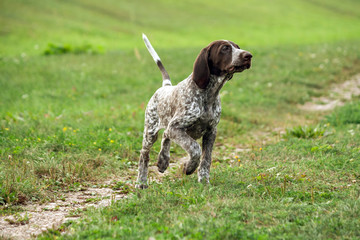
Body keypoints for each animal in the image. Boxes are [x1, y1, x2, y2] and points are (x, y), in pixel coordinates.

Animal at [136, 33, 252, 188]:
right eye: (225, 48)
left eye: (238, 47)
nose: (249, 55)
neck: (209, 94)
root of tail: (166, 86)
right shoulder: (177, 128)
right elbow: (195, 148)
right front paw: (189, 167)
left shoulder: (211, 131)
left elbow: (206, 159)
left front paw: (204, 181)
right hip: (150, 132)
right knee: (144, 154)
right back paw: (141, 182)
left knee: (165, 136)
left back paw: (163, 161)